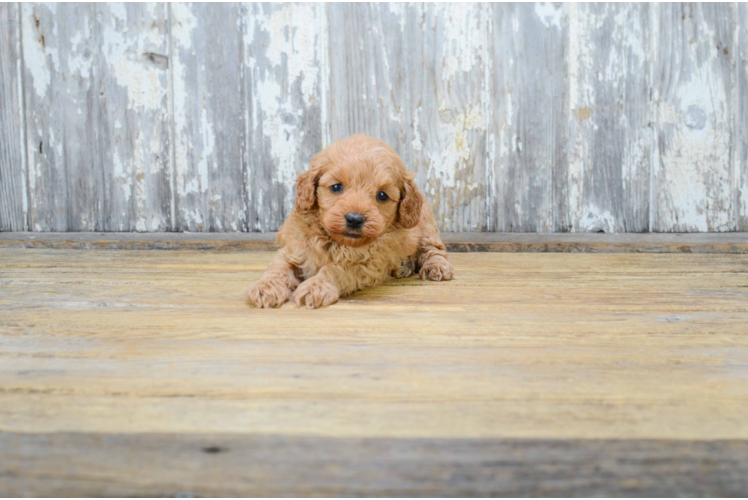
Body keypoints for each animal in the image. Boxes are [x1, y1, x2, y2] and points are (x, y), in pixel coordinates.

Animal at [248, 134, 452, 308]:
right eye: (336, 187)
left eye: (382, 195)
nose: (355, 219)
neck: (336, 242)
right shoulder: (294, 249)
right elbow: (279, 267)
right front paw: (266, 286)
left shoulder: (366, 266)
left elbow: (335, 270)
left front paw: (316, 286)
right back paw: (404, 266)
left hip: (425, 225)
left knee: (434, 249)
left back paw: (435, 266)